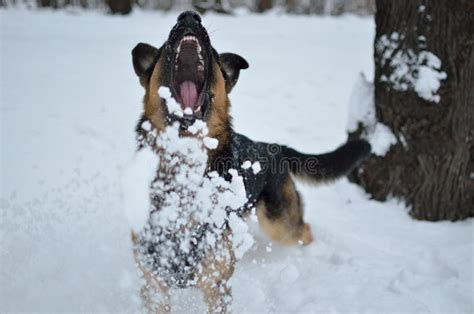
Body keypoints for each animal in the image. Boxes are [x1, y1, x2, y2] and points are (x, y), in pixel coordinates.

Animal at [131, 11, 372, 312]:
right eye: (164, 48)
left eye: (213, 53)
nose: (189, 15)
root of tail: (273, 148)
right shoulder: (153, 284)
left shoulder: (216, 284)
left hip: (279, 223)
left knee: (304, 229)